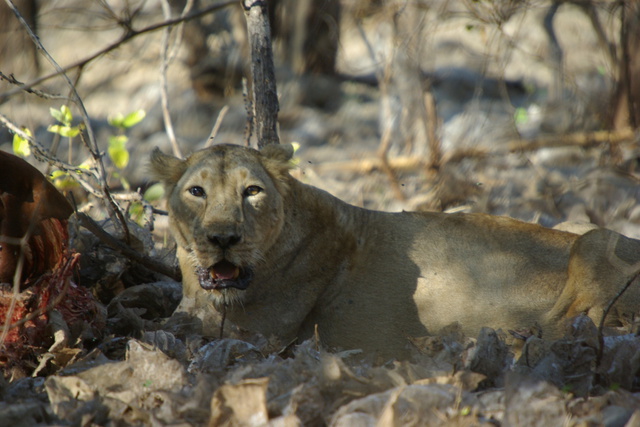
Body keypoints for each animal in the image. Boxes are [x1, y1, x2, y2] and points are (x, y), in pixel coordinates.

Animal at [151, 143, 640, 359]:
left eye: (251, 191)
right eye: (197, 192)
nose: (222, 238)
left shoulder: (257, 332)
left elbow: (173, 328)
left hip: (597, 242)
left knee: (565, 326)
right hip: (581, 227)